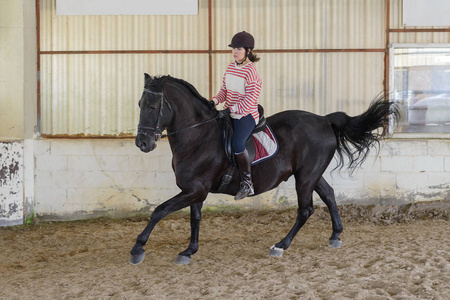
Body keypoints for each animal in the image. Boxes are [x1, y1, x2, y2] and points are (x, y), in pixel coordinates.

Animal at [130, 74, 398, 264]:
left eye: (152, 107)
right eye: (139, 103)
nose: (142, 143)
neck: (198, 136)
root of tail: (324, 120)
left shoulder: (195, 190)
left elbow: (159, 211)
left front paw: (138, 248)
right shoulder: (195, 190)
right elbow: (194, 219)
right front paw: (188, 251)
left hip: (305, 177)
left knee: (305, 210)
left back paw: (281, 245)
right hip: (311, 174)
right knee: (330, 195)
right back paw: (335, 235)